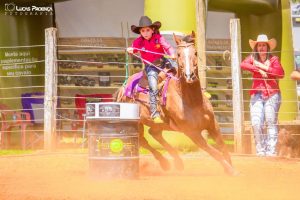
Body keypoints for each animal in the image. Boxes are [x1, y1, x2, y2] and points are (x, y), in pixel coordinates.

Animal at [116, 31, 238, 175]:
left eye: (195, 52)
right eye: (179, 54)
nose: (189, 76)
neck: (193, 101)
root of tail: (123, 89)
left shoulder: (213, 125)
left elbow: (223, 147)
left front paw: (231, 168)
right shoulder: (192, 133)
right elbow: (214, 152)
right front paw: (230, 170)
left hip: (161, 124)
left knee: (154, 133)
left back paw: (177, 161)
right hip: (137, 123)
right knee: (142, 140)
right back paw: (165, 162)